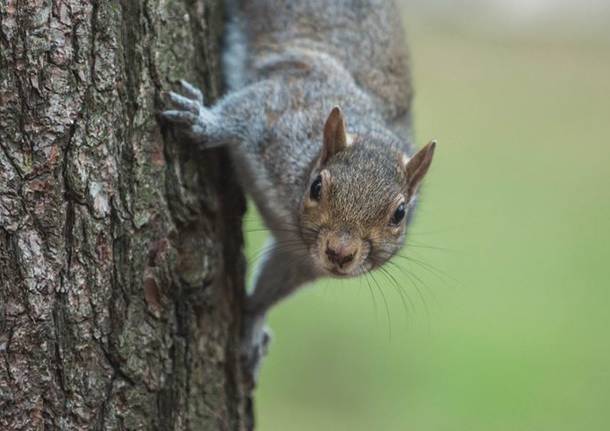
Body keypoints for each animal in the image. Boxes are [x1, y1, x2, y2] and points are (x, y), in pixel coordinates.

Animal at [159, 0, 434, 380]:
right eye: (317, 186)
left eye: (400, 214)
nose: (340, 253)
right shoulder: (284, 106)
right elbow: (243, 110)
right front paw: (201, 119)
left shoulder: (297, 259)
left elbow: (271, 286)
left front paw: (252, 324)